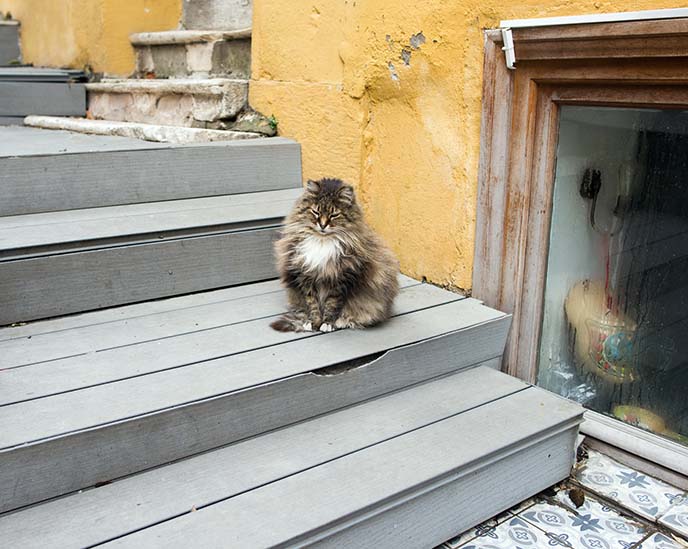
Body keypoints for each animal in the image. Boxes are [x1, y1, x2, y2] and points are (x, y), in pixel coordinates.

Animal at [268, 178, 398, 332]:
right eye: (316, 212)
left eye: (334, 215)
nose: (323, 225)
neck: (322, 242)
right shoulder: (306, 276)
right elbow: (313, 305)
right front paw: (313, 323)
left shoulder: (340, 280)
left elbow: (332, 305)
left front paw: (327, 324)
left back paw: (343, 321)